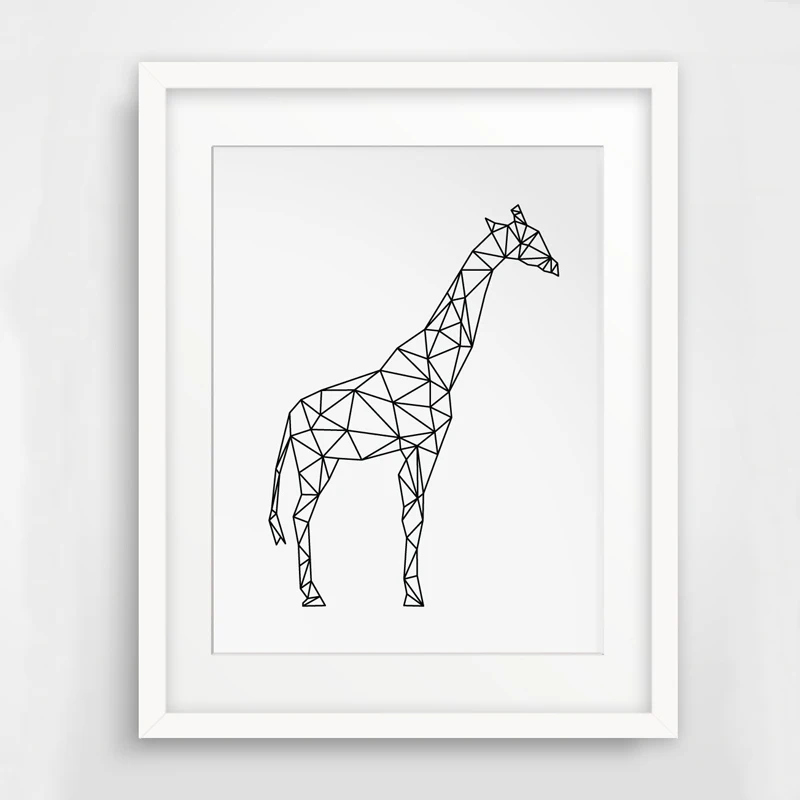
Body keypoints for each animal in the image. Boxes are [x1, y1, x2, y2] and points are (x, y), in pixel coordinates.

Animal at [269, 205, 559, 607]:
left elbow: (413, 516)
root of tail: (290, 417)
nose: (556, 266)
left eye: (539, 235)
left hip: (324, 463)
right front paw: (413, 596)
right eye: (528, 239)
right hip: (315, 463)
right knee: (301, 515)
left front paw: (411, 592)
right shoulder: (424, 446)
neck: (437, 364)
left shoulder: (416, 449)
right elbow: (415, 516)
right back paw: (313, 596)